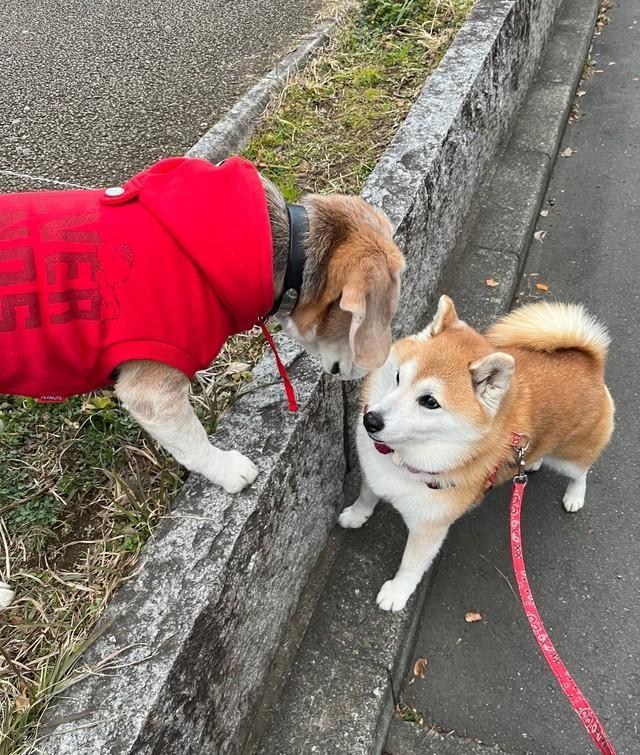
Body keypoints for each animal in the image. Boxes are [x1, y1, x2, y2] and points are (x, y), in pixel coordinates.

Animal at [340, 296, 616, 616]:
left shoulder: (430, 527)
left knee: (581, 472)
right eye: (398, 377)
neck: (401, 457)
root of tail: (589, 361)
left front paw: (397, 592)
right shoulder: (374, 475)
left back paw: (574, 496)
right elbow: (366, 495)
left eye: (430, 402)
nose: (370, 420)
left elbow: (411, 564)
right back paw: (532, 462)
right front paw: (356, 515)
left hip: (570, 456)